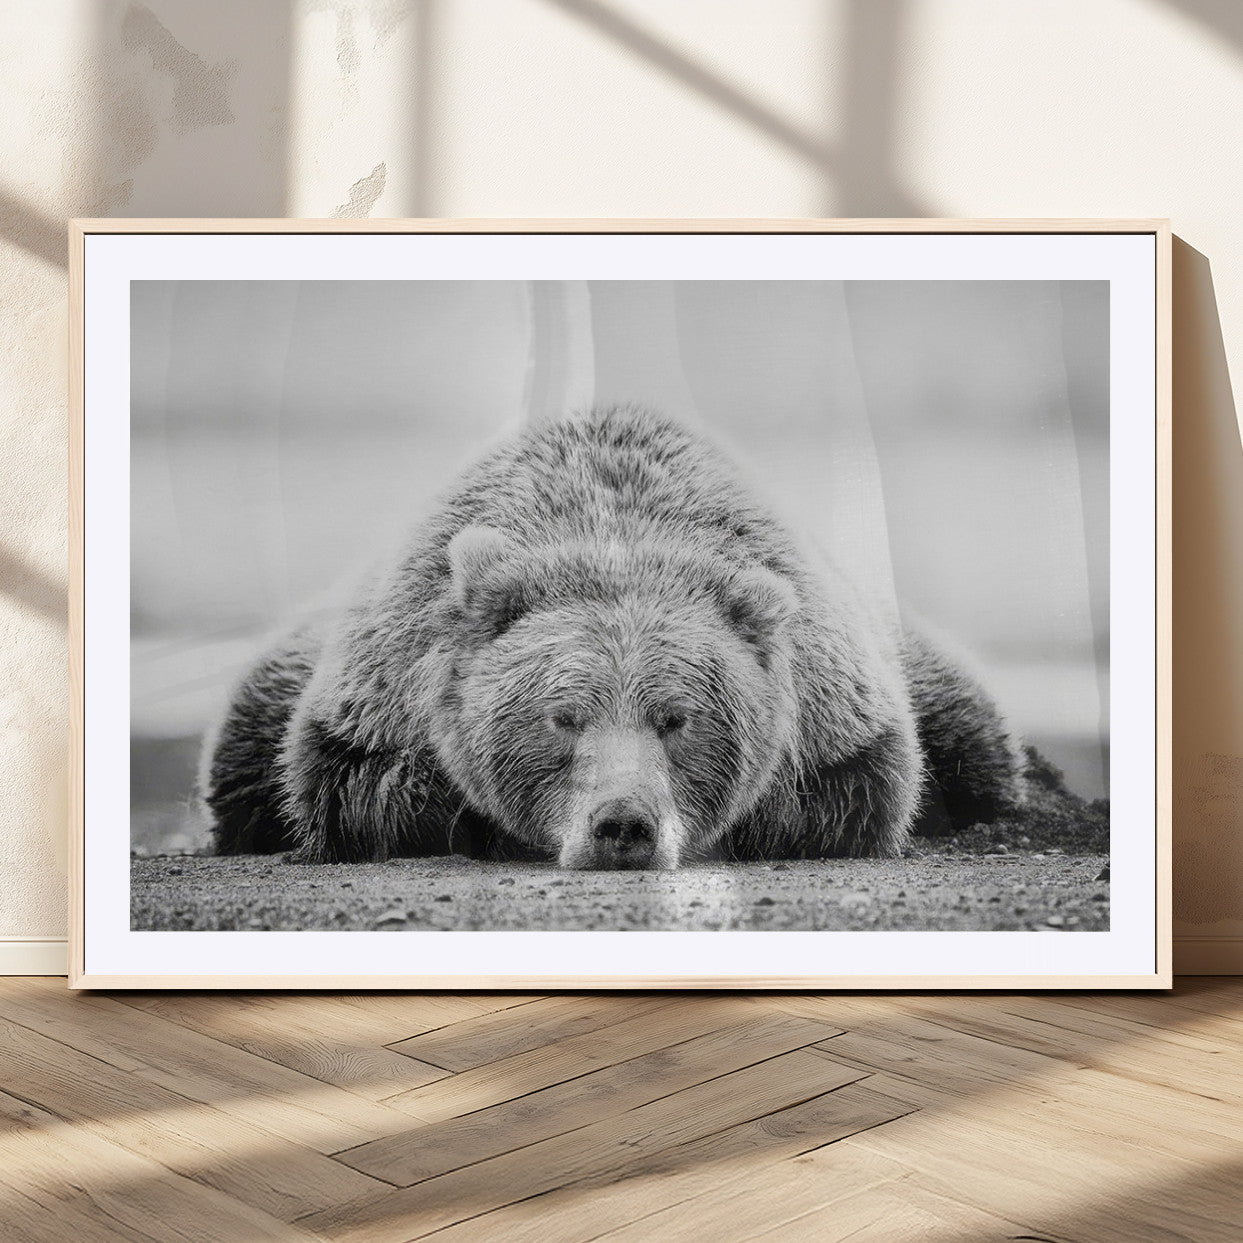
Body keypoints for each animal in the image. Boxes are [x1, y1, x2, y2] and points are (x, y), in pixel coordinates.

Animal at [201, 406, 1019, 869]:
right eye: (562, 716)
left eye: (677, 718)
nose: (622, 824)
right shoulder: (379, 689)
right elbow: (356, 783)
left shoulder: (836, 705)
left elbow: (858, 790)